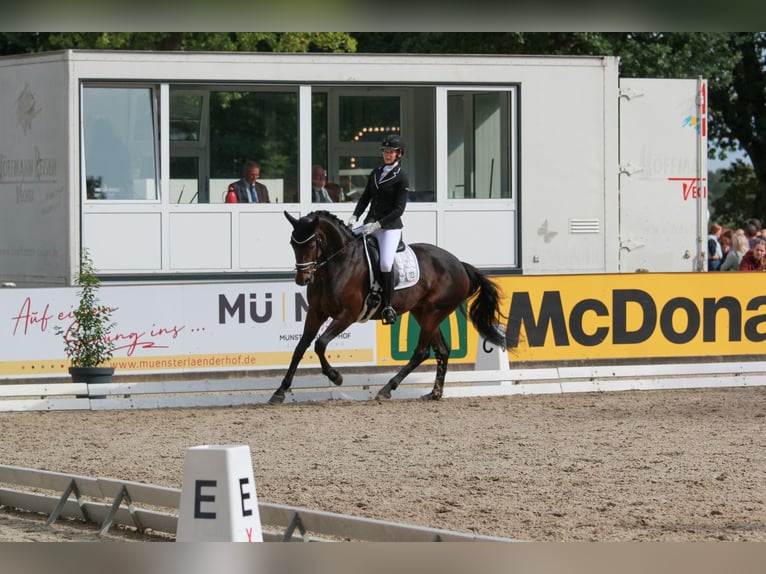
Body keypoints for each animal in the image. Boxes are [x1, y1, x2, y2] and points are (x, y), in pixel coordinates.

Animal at [268, 210, 507, 404]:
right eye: (292, 244)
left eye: (312, 243)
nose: (302, 279)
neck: (339, 263)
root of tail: (460, 265)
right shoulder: (316, 312)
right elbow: (300, 348)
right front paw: (280, 391)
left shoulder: (347, 315)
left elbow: (320, 344)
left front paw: (336, 376)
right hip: (423, 312)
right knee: (442, 350)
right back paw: (434, 393)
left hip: (433, 312)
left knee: (421, 352)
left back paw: (387, 389)